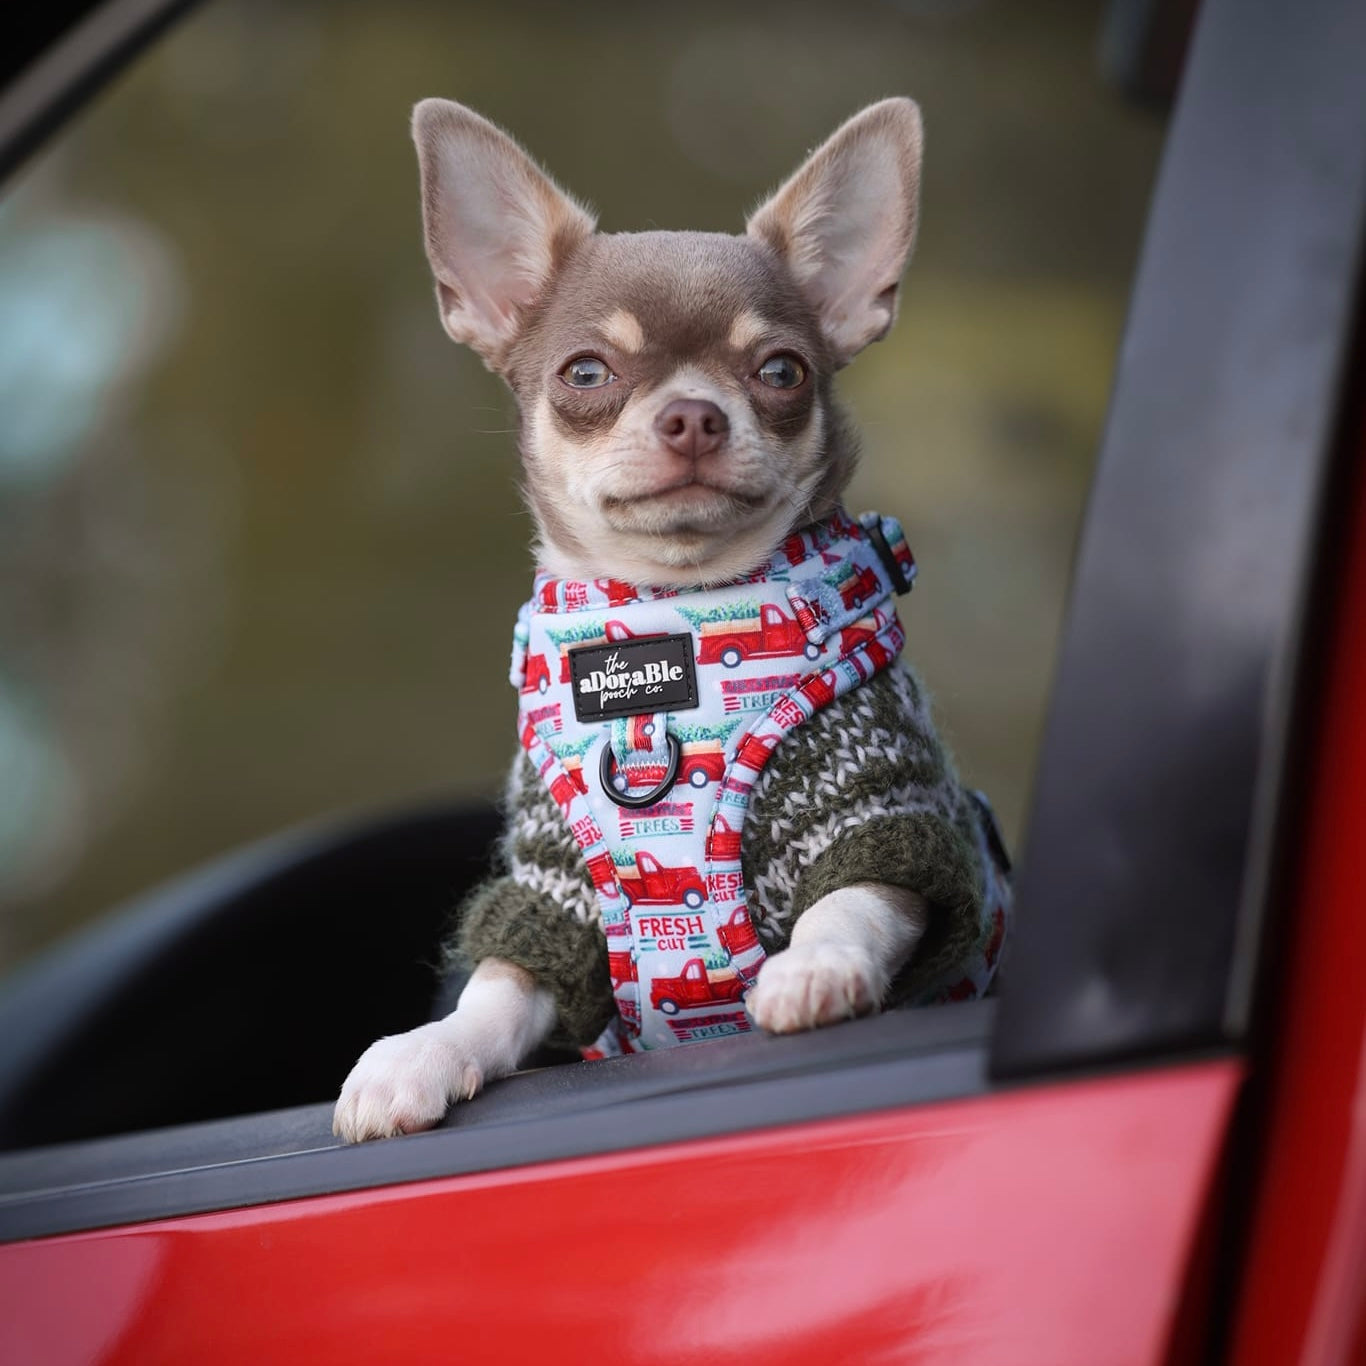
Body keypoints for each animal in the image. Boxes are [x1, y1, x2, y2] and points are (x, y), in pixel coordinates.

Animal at [330, 99, 1005, 1141]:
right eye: (585, 372)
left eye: (781, 370)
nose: (693, 413)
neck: (674, 624)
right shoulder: (559, 895)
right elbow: (493, 990)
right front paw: (418, 1054)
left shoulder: (882, 818)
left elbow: (849, 906)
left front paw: (813, 971)